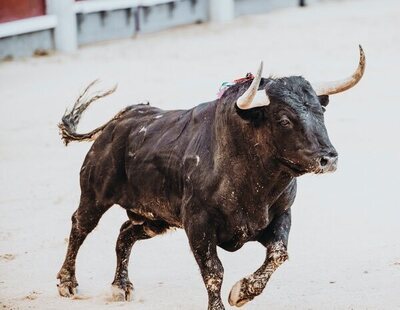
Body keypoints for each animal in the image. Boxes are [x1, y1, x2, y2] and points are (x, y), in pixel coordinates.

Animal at [56, 46, 366, 310]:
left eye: (320, 111)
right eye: (284, 119)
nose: (328, 158)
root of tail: (118, 121)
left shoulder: (280, 214)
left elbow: (279, 253)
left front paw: (242, 293)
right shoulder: (198, 225)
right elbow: (214, 271)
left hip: (154, 218)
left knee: (125, 233)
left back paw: (120, 286)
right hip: (94, 195)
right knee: (80, 226)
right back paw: (67, 283)